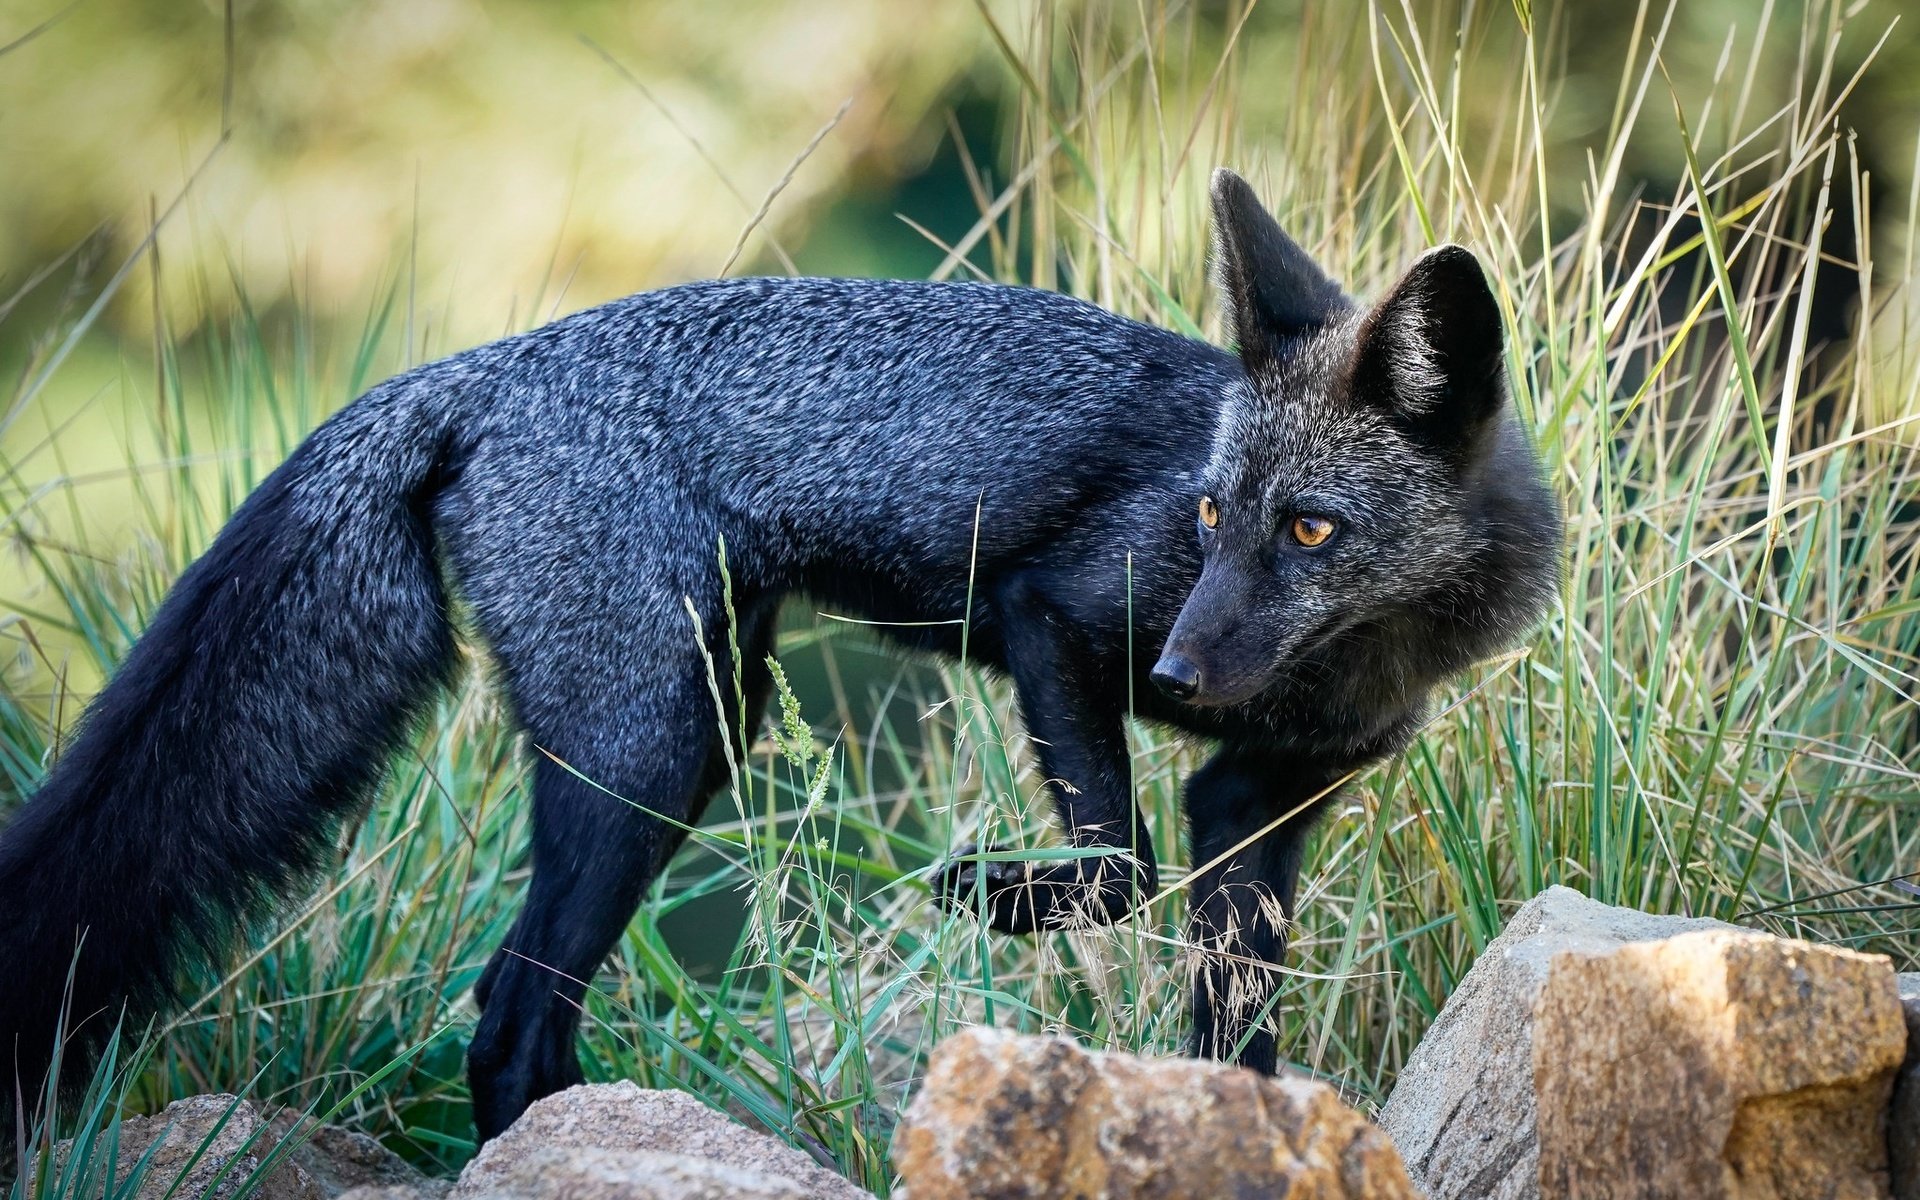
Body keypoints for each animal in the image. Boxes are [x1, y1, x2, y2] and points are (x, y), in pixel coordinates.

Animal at [0, 170, 1559, 1144]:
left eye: (1310, 528)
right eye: (1211, 515)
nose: (1177, 681)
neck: (1362, 659)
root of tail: (476, 367)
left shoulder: (1259, 798)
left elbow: (1230, 1025)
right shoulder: (1052, 615)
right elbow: (1114, 864)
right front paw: (990, 895)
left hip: (701, 727)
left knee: (517, 1019)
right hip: (648, 758)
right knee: (508, 1020)